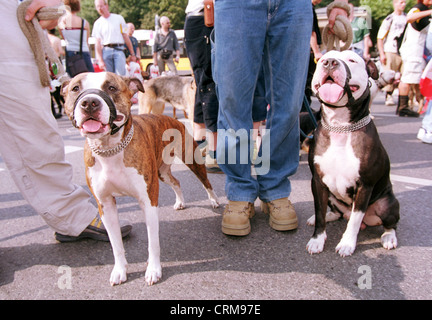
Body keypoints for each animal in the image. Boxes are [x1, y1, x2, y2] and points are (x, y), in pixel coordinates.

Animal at [61, 72, 219, 284]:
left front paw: (153, 270)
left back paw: (214, 200)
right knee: (176, 182)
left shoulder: (148, 201)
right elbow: (116, 244)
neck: (110, 149)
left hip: (191, 160)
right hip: (162, 173)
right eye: (75, 88)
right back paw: (180, 202)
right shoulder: (105, 205)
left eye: (111, 87)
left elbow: (153, 243)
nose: (90, 103)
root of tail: (172, 119)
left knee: (206, 182)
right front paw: (120, 270)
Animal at [306, 50, 400, 258]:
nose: (329, 62)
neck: (340, 126)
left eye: (352, 60)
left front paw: (347, 244)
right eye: (323, 59)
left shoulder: (364, 186)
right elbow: (319, 211)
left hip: (387, 204)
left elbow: (355, 221)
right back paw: (327, 215)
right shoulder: (317, 181)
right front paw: (317, 240)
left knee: (390, 224)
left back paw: (389, 237)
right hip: (330, 194)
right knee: (335, 212)